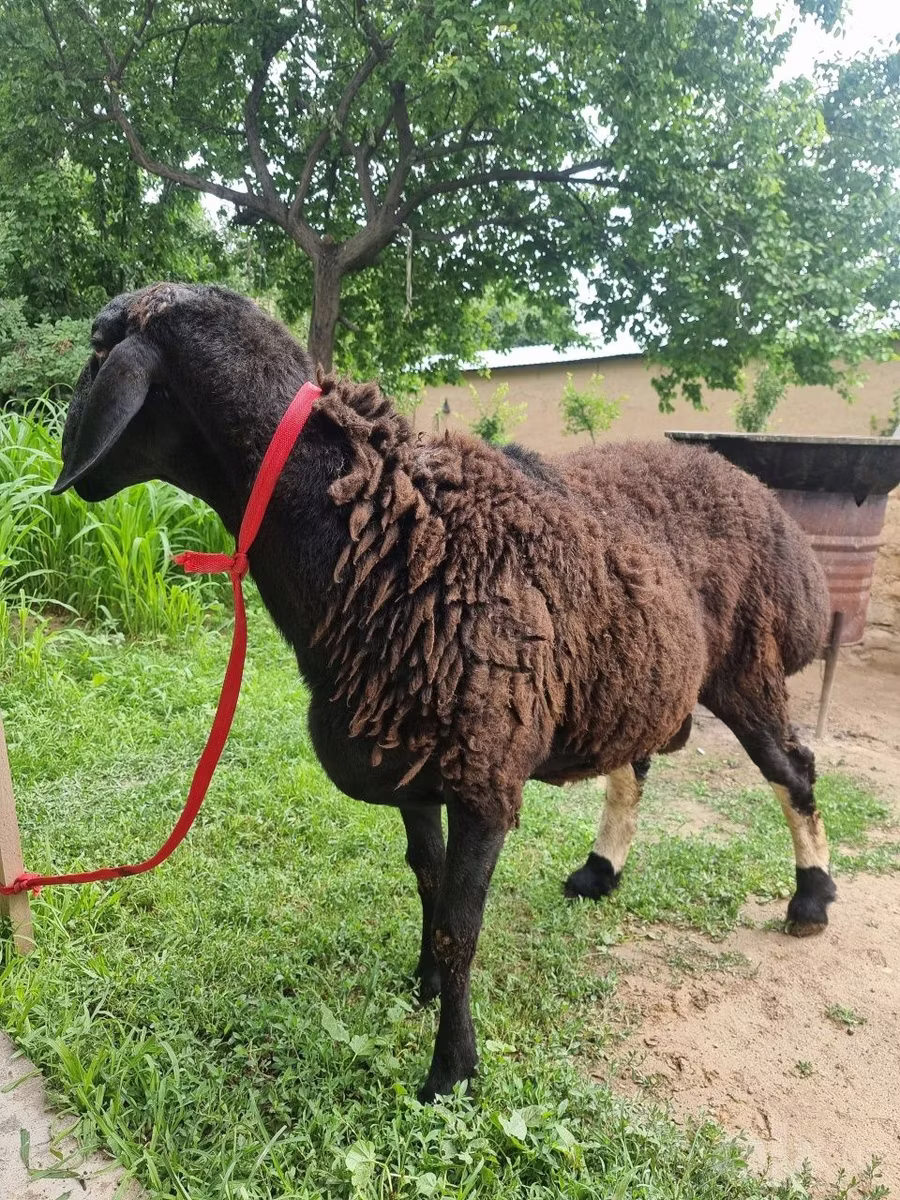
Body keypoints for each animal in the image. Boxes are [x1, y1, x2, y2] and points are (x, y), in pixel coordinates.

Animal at [51, 282, 834, 1102]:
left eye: (98, 349)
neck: (381, 530)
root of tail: (765, 502)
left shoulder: (482, 776)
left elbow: (463, 925)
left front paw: (451, 1070)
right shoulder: (412, 762)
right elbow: (426, 881)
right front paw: (422, 984)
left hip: (747, 668)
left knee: (793, 770)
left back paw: (810, 899)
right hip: (632, 676)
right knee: (637, 766)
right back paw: (599, 871)